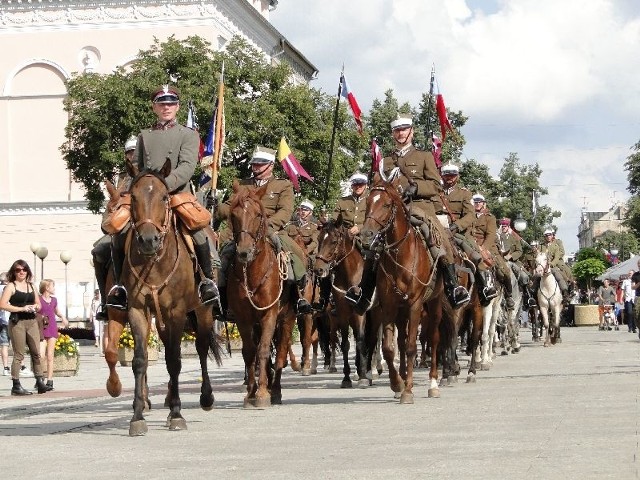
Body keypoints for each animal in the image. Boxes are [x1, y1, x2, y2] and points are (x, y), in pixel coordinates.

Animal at [119, 160, 224, 436]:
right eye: (133, 197)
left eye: (165, 197)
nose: (148, 240)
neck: (154, 261)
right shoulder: (137, 310)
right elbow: (140, 361)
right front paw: (137, 417)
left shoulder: (176, 312)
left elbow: (175, 360)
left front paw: (177, 413)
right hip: (162, 320)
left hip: (202, 311)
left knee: (201, 348)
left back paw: (206, 398)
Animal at [228, 182, 298, 406]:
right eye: (233, 214)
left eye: (258, 214)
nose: (244, 252)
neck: (252, 273)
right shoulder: (243, 318)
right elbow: (250, 352)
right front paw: (251, 392)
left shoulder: (269, 314)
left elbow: (265, 350)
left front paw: (262, 394)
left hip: (287, 318)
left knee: (282, 351)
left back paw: (275, 391)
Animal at [314, 219, 372, 388]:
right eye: (319, 239)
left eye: (334, 241)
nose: (318, 269)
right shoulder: (343, 313)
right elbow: (346, 344)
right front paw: (346, 377)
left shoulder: (360, 313)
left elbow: (360, 340)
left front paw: (363, 377)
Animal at [358, 174, 442, 404]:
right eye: (368, 203)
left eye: (387, 204)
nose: (366, 235)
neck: (400, 255)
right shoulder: (388, 306)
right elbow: (389, 348)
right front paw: (397, 384)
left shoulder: (415, 305)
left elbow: (413, 346)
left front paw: (408, 391)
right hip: (400, 311)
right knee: (401, 343)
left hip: (434, 305)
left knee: (433, 338)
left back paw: (433, 384)